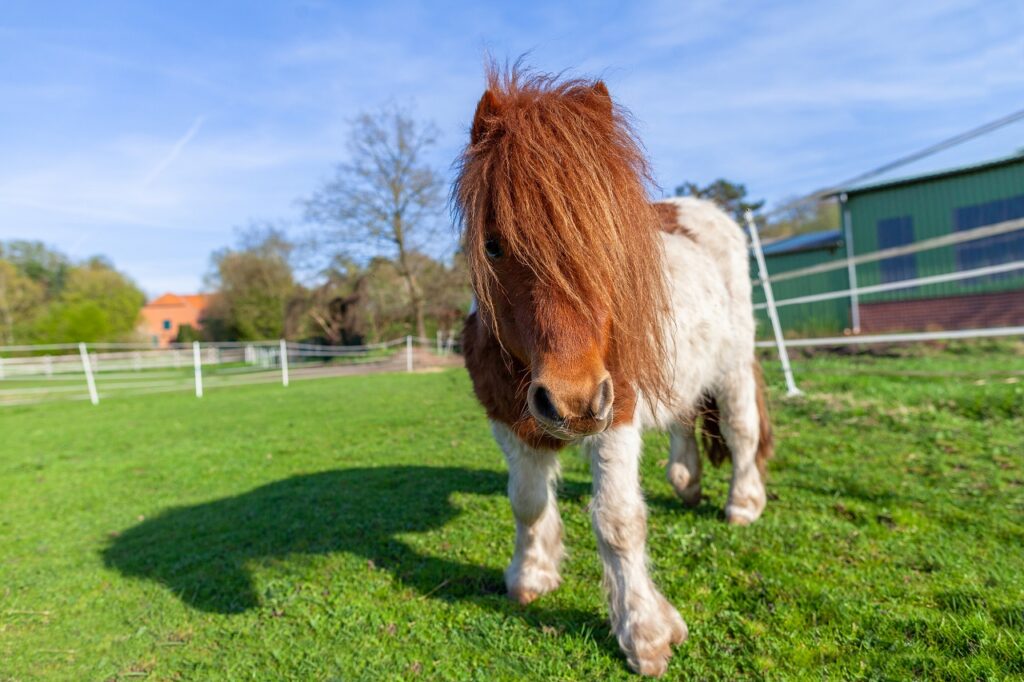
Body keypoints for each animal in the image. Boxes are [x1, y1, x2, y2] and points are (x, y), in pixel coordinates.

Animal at [453, 66, 773, 677]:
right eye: (494, 245)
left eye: (611, 242)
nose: (572, 401)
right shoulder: (506, 421)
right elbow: (526, 501)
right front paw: (531, 574)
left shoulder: (615, 411)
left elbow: (619, 520)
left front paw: (644, 631)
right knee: (682, 414)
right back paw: (687, 481)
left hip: (732, 361)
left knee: (742, 429)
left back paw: (743, 504)